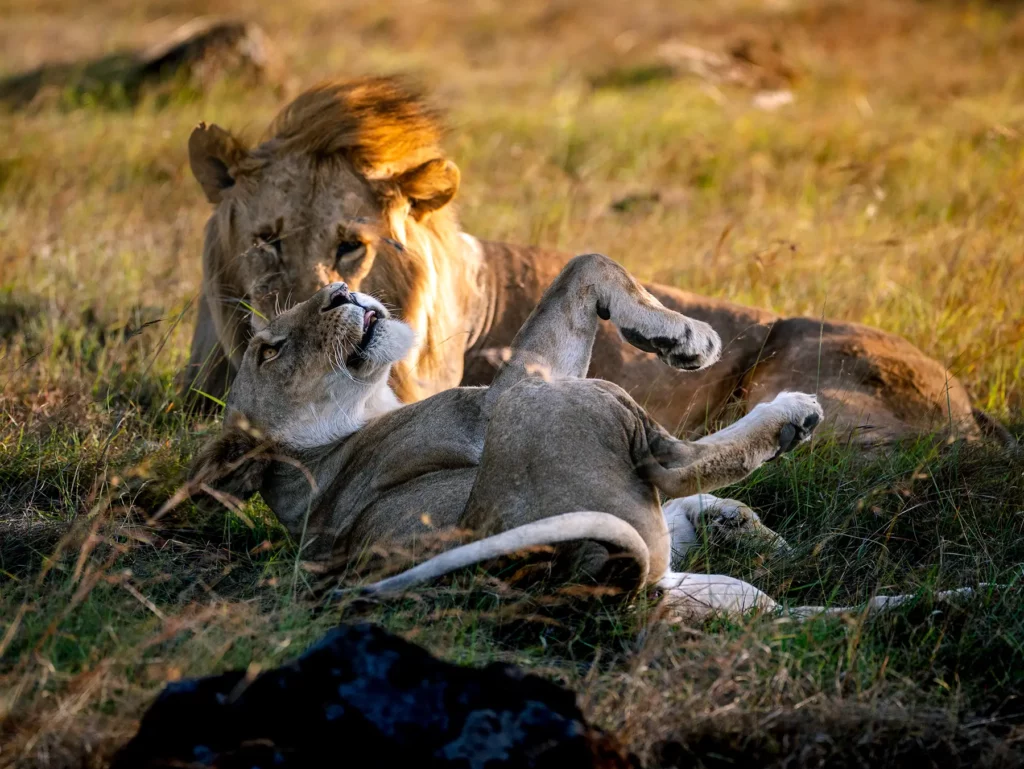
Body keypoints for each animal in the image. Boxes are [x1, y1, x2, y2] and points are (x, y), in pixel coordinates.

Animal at [191, 253, 982, 619]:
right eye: (270, 349)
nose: (340, 291)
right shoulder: (501, 395)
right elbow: (588, 264)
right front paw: (690, 338)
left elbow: (590, 266)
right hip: (558, 403)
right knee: (676, 459)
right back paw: (792, 416)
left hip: (709, 591)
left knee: (809, 619)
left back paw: (948, 602)